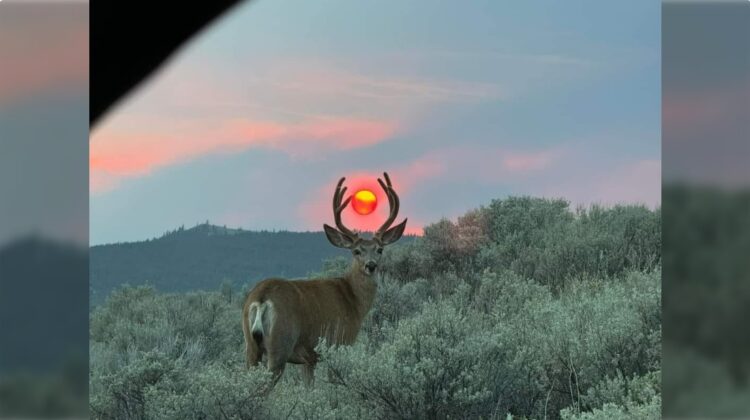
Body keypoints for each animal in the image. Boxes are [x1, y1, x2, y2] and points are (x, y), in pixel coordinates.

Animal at [242, 171, 408, 388]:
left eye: (380, 249)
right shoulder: (339, 343)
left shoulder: (308, 358)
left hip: (251, 347)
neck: (353, 300)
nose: (370, 265)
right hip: (280, 344)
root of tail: (261, 298)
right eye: (356, 251)